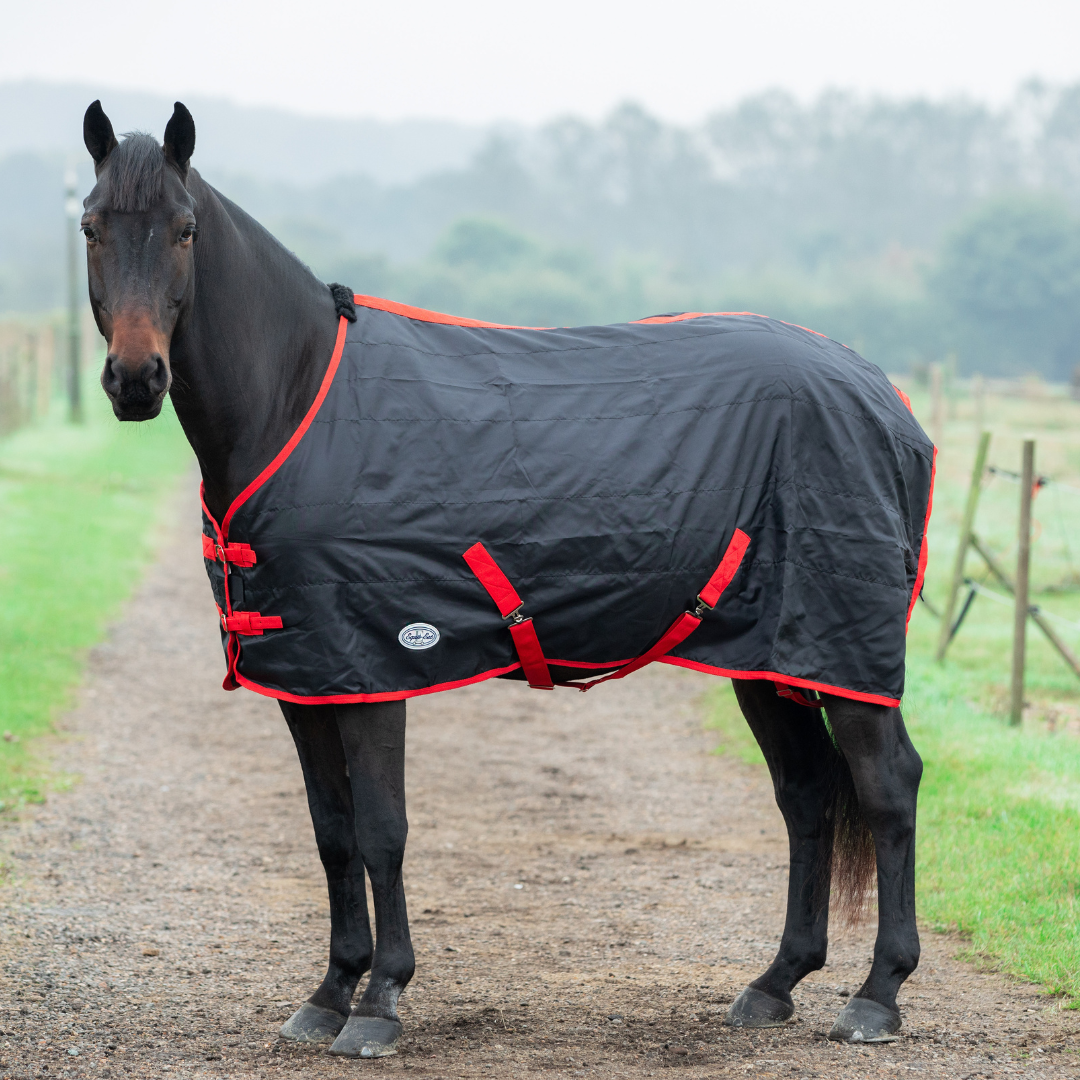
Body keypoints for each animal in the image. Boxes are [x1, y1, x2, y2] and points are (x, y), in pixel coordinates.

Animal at [80, 99, 929, 1058]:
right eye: (91, 226)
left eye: (185, 229)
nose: (136, 380)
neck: (298, 403)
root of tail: (884, 395)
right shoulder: (306, 678)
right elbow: (332, 834)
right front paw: (330, 991)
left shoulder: (374, 667)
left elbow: (381, 831)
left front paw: (379, 1002)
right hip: (766, 657)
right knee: (807, 793)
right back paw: (777, 982)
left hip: (843, 652)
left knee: (888, 787)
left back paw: (879, 994)